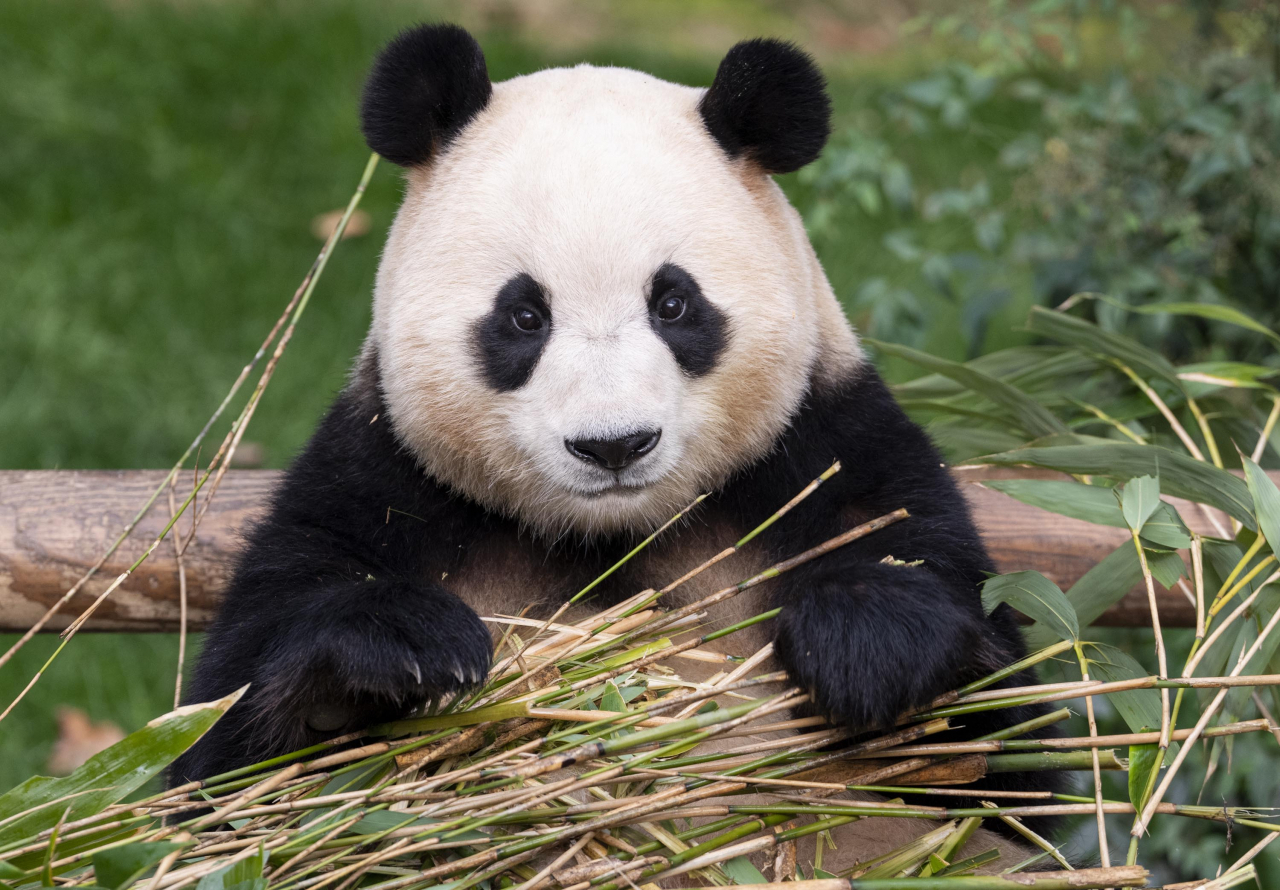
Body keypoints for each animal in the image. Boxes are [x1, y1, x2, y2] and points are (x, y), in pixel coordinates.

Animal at [177, 22, 1059, 865]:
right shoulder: (376, 485)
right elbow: (219, 771)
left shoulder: (838, 450)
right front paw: (405, 648)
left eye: (673, 303)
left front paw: (864, 639)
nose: (613, 446)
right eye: (524, 316)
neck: (612, 539)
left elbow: (1018, 767)